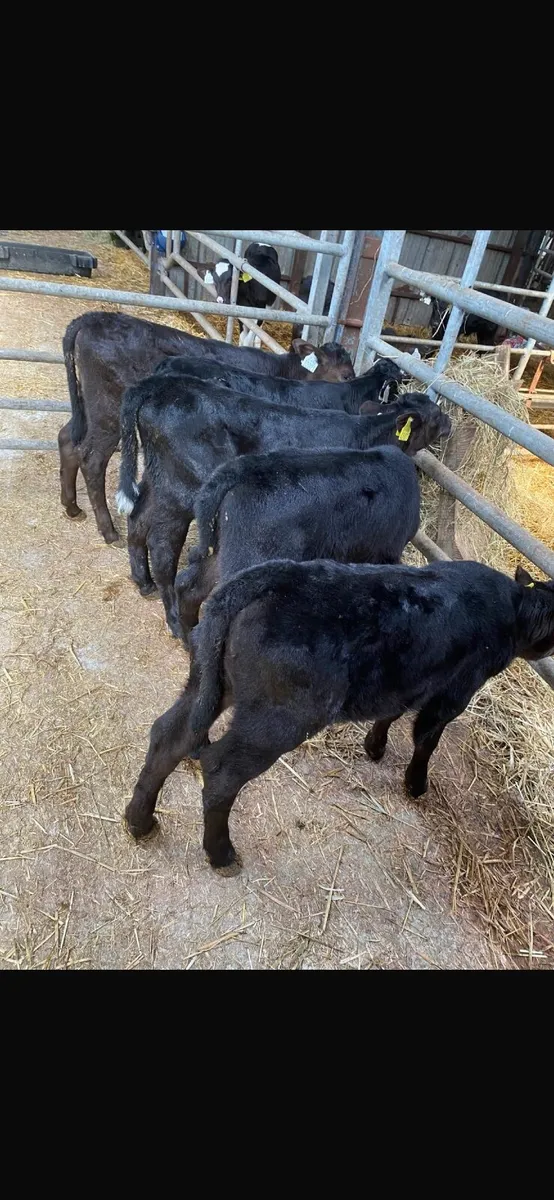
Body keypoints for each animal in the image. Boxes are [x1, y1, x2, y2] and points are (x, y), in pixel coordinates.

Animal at [58, 311, 354, 544]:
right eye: (346, 375)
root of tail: (94, 317)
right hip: (107, 411)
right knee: (91, 459)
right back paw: (109, 532)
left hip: (89, 407)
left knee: (67, 439)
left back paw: (72, 507)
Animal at [124, 561, 554, 869]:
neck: (517, 611)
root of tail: (260, 579)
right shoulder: (455, 691)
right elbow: (426, 739)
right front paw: (416, 784)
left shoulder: (406, 681)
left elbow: (391, 712)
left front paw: (375, 747)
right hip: (279, 718)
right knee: (220, 770)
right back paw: (221, 854)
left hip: (210, 684)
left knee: (168, 736)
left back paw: (139, 821)